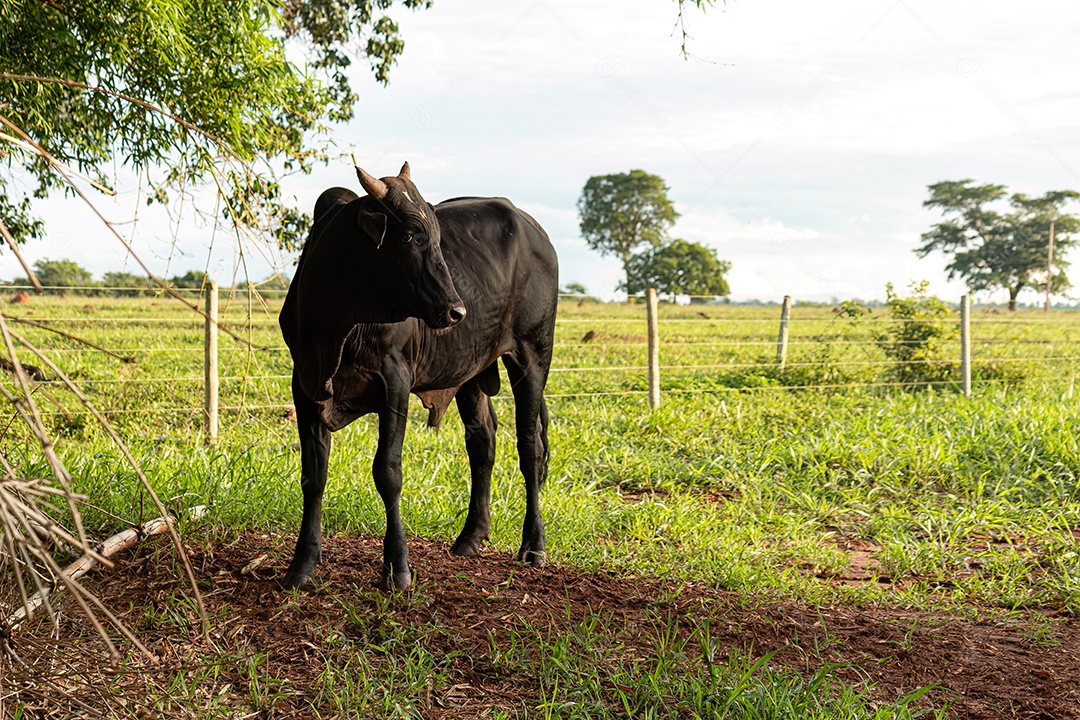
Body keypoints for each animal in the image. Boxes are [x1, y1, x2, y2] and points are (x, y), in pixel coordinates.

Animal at [279, 162, 558, 592]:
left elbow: (388, 473)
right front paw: (303, 563)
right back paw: (470, 537)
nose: (457, 311)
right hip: (472, 373)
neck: (336, 327)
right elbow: (314, 476)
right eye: (409, 235)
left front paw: (397, 567)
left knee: (530, 450)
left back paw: (534, 546)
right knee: (483, 444)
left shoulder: (394, 383)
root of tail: (535, 229)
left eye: (439, 239)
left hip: (532, 356)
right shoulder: (305, 387)